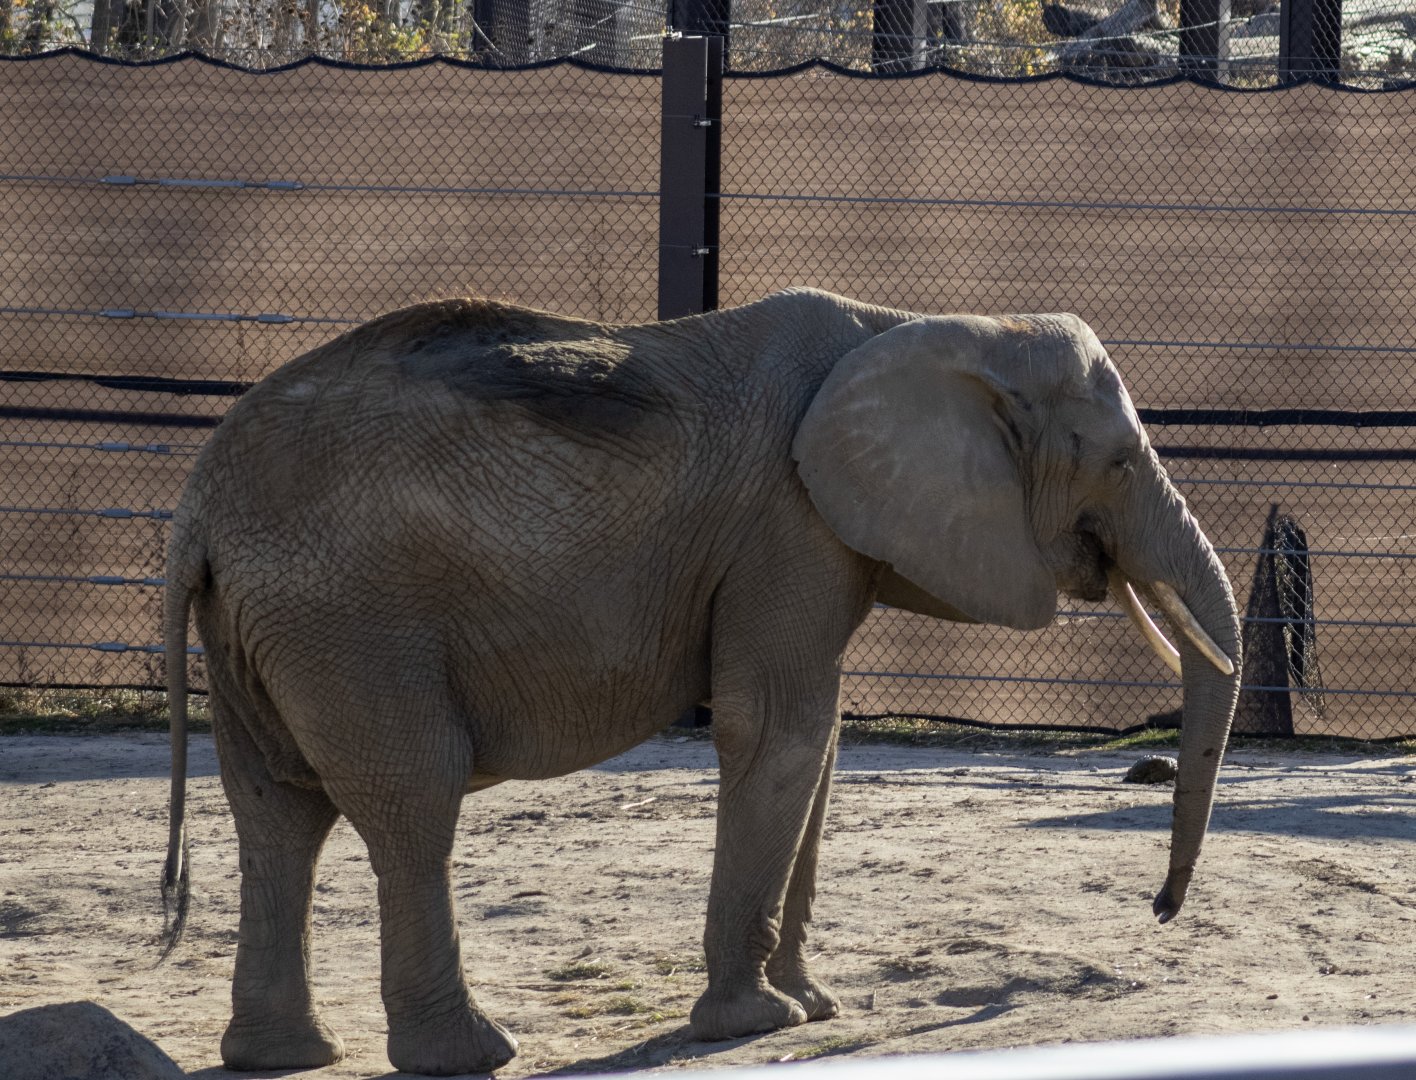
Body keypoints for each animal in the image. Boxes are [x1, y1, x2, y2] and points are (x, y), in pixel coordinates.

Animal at [160, 287, 1241, 1076]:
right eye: (1117, 460)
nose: (1159, 910)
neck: (921, 323)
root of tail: (197, 507)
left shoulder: (817, 536)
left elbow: (821, 741)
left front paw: (812, 1005)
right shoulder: (788, 523)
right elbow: (779, 731)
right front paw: (756, 1022)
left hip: (265, 629)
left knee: (277, 811)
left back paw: (282, 1057)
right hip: (352, 621)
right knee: (411, 802)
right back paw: (467, 1055)